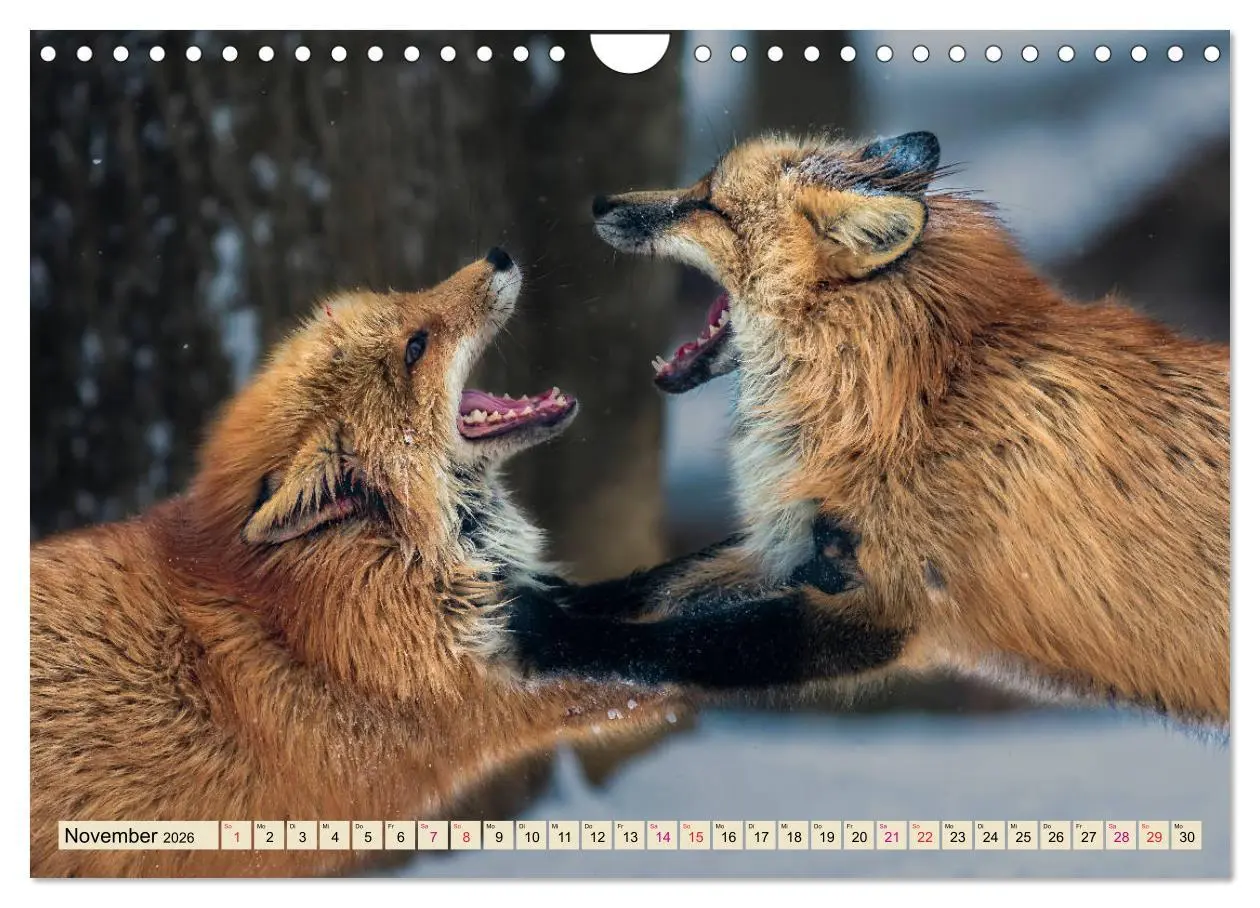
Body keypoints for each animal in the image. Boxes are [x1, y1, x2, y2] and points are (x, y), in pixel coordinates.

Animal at [29, 248, 698, 878]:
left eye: (404, 301)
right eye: (415, 347)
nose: (499, 255)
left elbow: (637, 591)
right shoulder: (496, 702)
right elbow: (650, 662)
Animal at [494, 132, 1230, 729]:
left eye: (710, 205)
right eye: (700, 186)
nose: (599, 202)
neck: (917, 399)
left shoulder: (885, 605)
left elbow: (679, 642)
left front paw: (543, 629)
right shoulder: (797, 544)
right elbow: (657, 582)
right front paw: (551, 592)